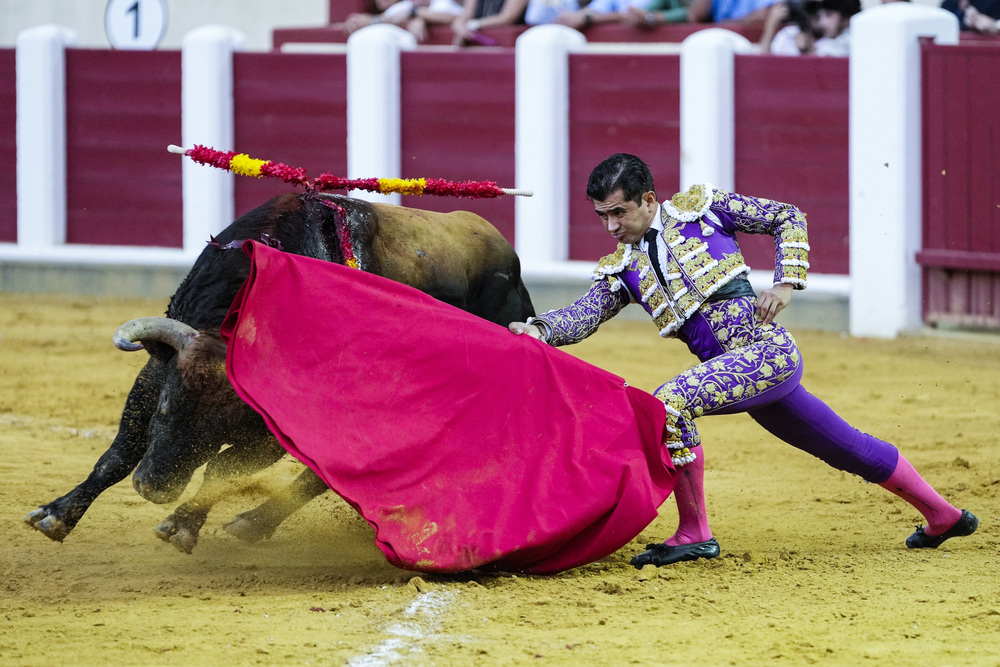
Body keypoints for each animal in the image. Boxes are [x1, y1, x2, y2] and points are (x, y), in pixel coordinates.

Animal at [21, 193, 532, 552]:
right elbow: (120, 450)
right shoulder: (155, 371)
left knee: (320, 477)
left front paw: (181, 525)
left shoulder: (272, 429)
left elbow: (223, 468)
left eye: (222, 425)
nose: (153, 488)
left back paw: (252, 523)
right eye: (167, 404)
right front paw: (56, 515)